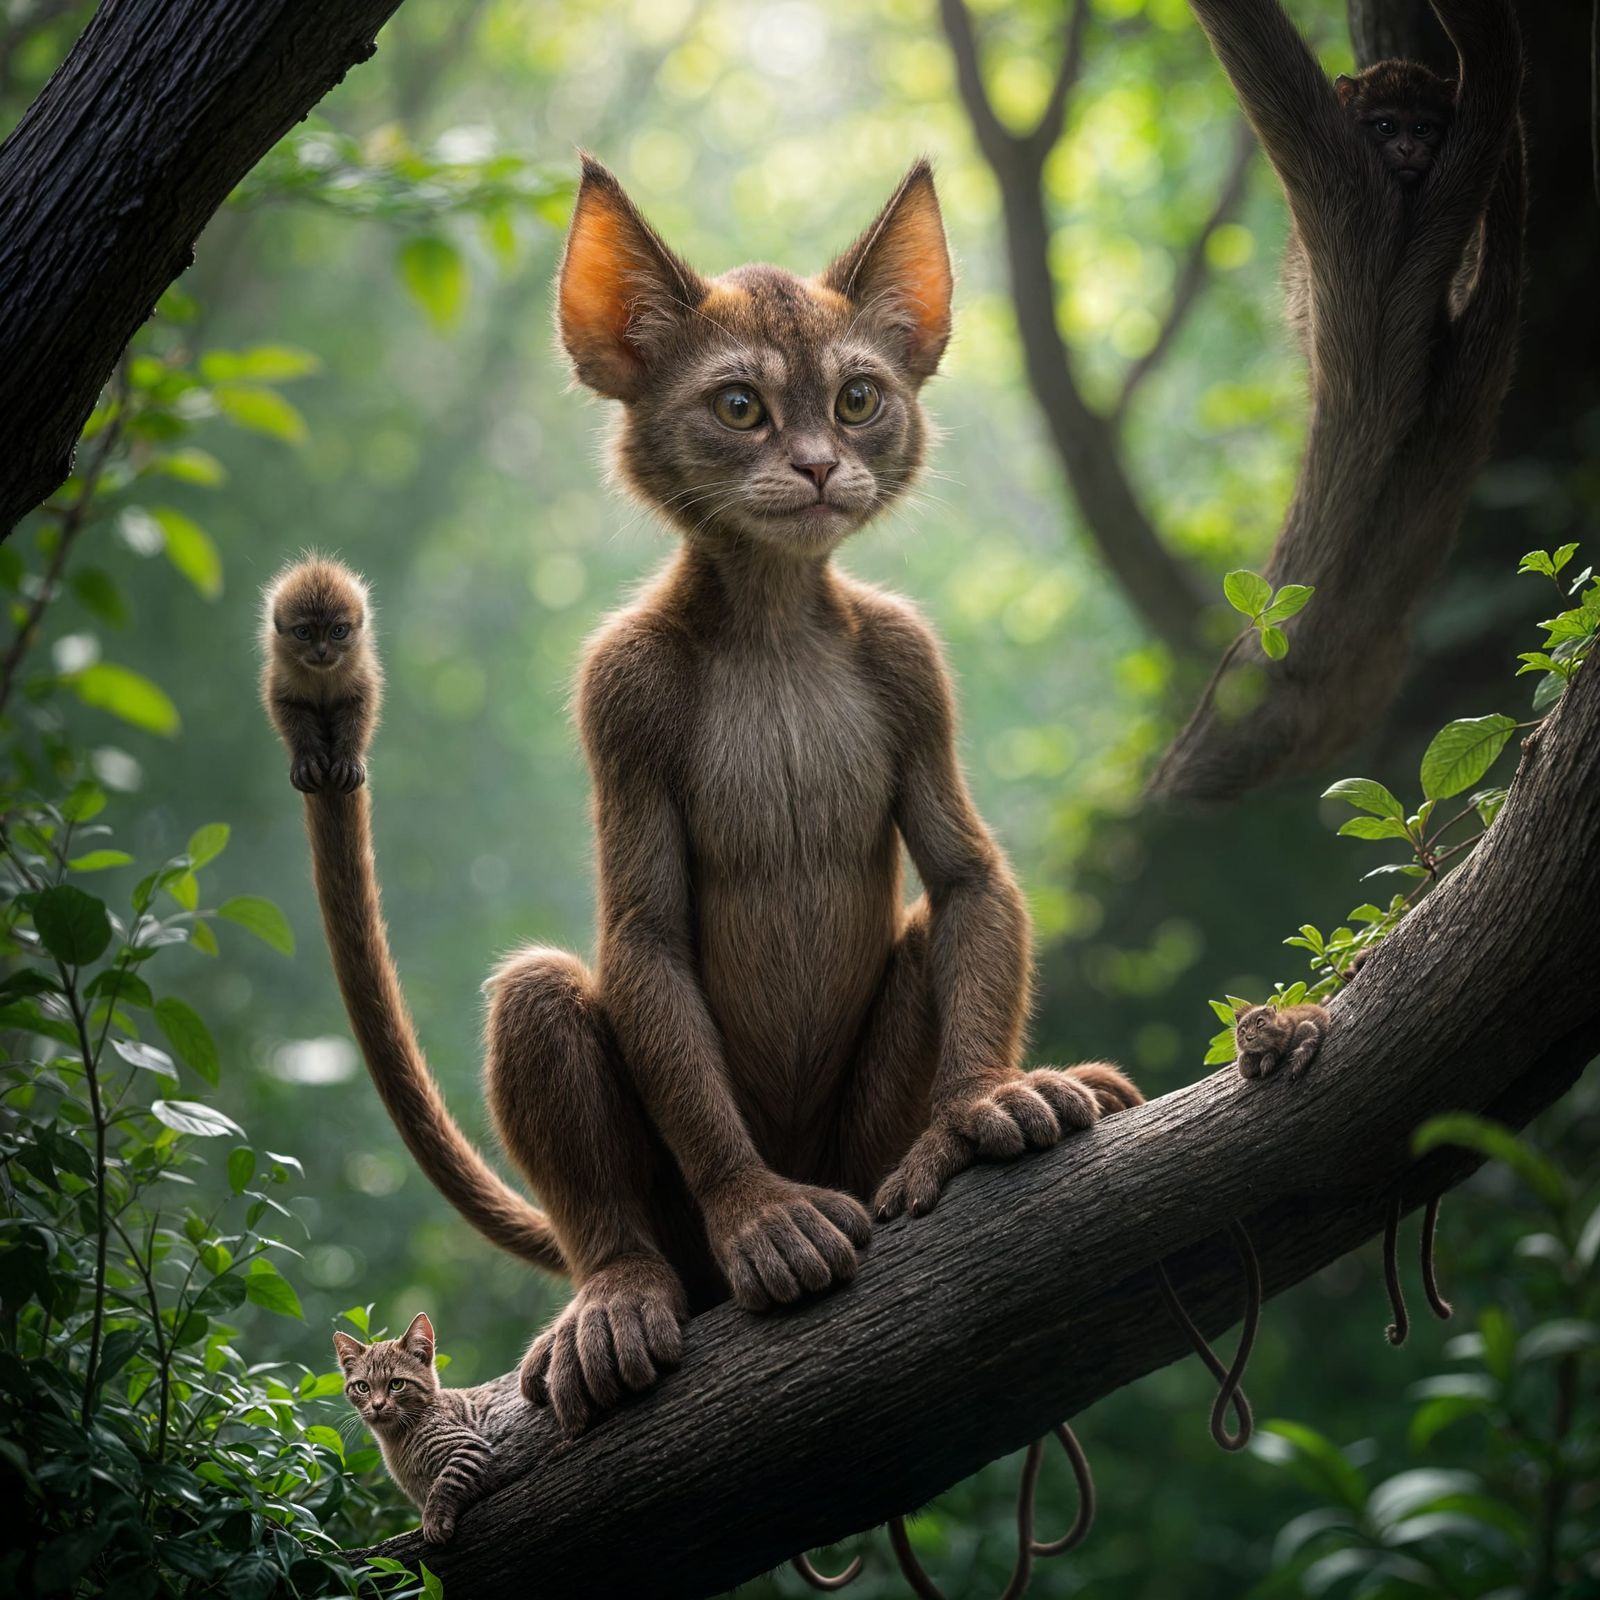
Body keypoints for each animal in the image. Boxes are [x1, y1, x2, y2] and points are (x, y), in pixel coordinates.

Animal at [261, 556, 382, 795]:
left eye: (338, 631)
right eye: (303, 632)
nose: (322, 651)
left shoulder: (361, 674)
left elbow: (359, 706)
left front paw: (348, 761)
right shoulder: (281, 677)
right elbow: (287, 706)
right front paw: (306, 761)